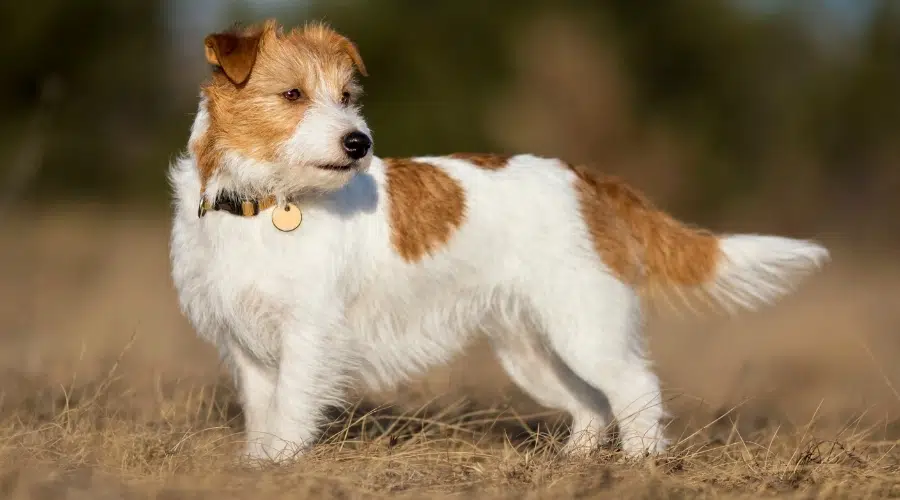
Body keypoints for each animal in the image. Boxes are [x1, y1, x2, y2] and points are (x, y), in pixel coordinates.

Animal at [167, 19, 828, 462]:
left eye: (347, 97)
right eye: (292, 95)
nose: (359, 142)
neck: (263, 204)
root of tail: (587, 179)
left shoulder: (308, 337)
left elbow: (289, 410)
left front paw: (278, 465)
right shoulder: (247, 345)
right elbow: (262, 413)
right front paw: (257, 465)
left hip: (587, 329)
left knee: (637, 388)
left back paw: (642, 463)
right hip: (534, 350)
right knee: (592, 404)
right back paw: (575, 462)